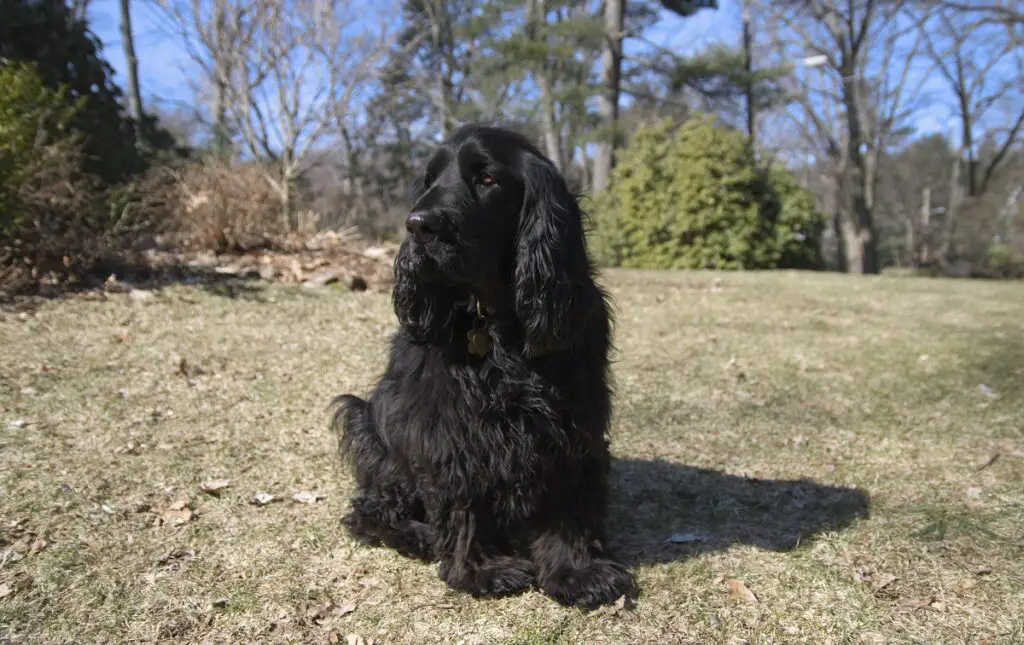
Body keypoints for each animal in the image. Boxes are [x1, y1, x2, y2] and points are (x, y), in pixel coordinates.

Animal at [329, 123, 630, 610]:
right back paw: (419, 535)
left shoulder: (570, 417)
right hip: (369, 426)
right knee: (369, 511)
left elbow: (569, 495)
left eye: (487, 178)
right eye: (428, 180)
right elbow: (464, 491)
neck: (496, 321)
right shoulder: (450, 423)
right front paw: (479, 569)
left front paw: (576, 571)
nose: (418, 225)